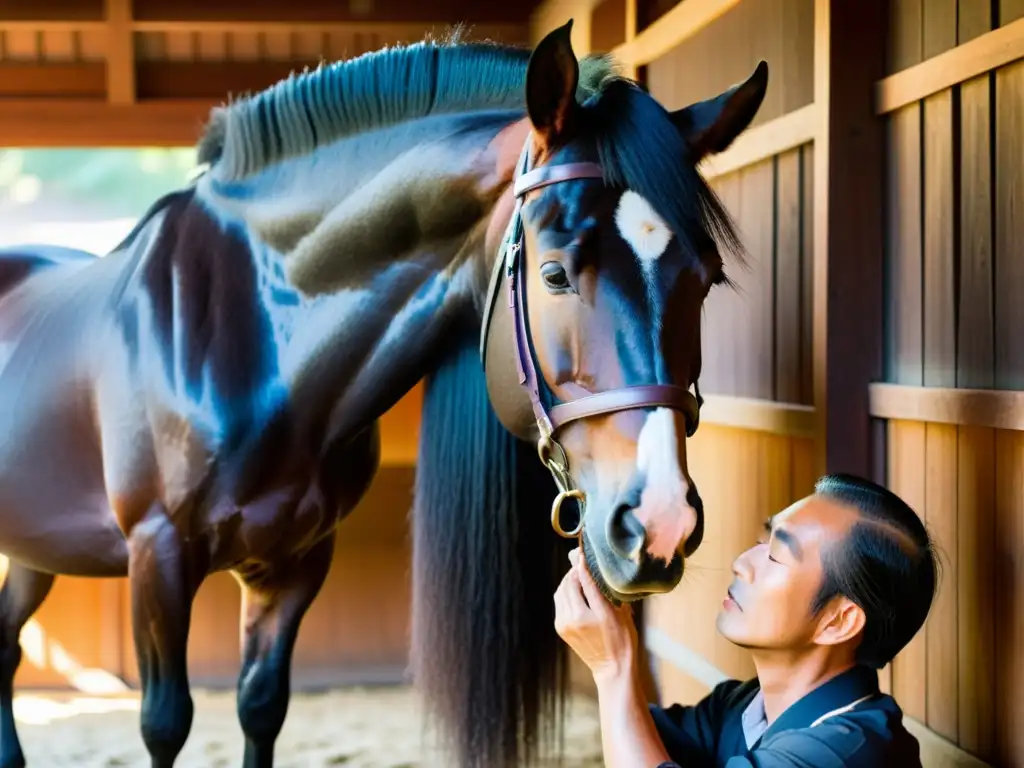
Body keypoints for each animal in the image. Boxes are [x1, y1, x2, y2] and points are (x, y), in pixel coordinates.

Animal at [0, 20, 765, 768]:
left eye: (705, 278)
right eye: (554, 273)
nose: (660, 524)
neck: (251, 335)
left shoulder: (294, 565)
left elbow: (260, 707)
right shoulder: (157, 556)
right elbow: (165, 724)